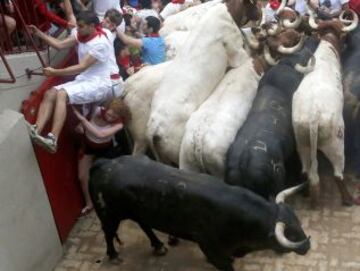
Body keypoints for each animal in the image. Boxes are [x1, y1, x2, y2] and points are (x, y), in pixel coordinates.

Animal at [89, 156, 310, 270]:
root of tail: (104, 163)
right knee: (108, 232)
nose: (307, 245)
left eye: (299, 223)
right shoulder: (211, 247)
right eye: (291, 234)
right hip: (108, 214)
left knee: (144, 225)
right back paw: (113, 255)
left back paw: (159, 246)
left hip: (137, 211)